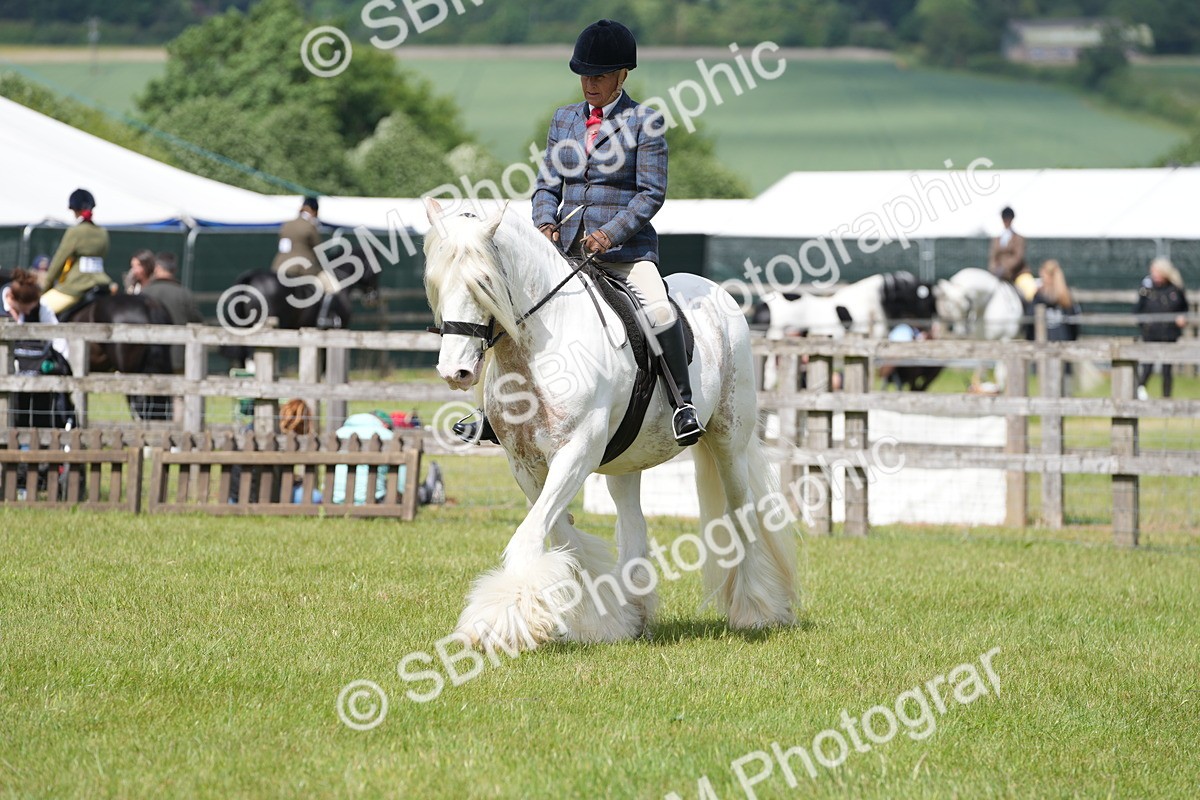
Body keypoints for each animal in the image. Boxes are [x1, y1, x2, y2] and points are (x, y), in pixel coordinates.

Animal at [423, 199, 798, 651]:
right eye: (436, 282)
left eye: (482, 282)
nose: (454, 371)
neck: (541, 345)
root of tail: (720, 293)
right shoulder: (525, 465)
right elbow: (561, 535)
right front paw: (602, 618)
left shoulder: (577, 453)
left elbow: (530, 537)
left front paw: (499, 623)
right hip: (627, 460)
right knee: (633, 522)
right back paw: (636, 613)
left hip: (729, 444)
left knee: (742, 516)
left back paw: (757, 610)